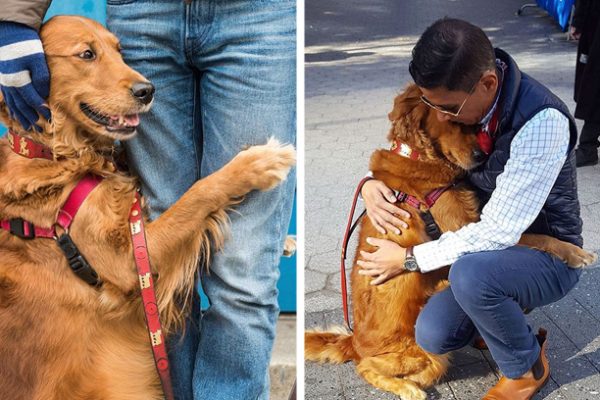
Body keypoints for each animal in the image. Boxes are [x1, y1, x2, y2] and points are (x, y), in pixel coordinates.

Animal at [0, 15, 296, 400]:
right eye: (86, 54)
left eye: (119, 49)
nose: (147, 91)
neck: (57, 154)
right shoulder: (125, 262)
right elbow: (197, 193)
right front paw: (256, 164)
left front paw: (285, 240)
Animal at [308, 84, 596, 400]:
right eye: (452, 122)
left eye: (473, 125)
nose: (480, 155)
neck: (419, 156)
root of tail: (354, 340)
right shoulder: (463, 225)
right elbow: (528, 235)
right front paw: (575, 252)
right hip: (424, 355)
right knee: (368, 368)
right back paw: (410, 387)